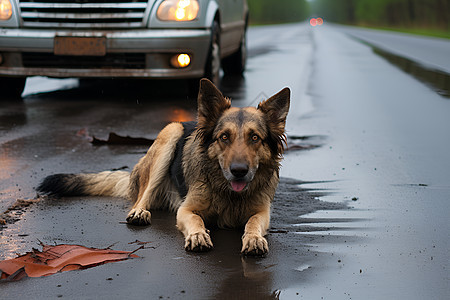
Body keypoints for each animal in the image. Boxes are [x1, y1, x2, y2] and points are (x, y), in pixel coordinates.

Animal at [38, 78, 292, 255]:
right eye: (224, 137)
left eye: (255, 138)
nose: (239, 171)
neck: (229, 195)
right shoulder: (186, 210)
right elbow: (197, 220)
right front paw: (198, 235)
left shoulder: (262, 212)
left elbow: (253, 222)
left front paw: (254, 238)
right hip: (170, 133)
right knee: (142, 196)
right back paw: (139, 212)